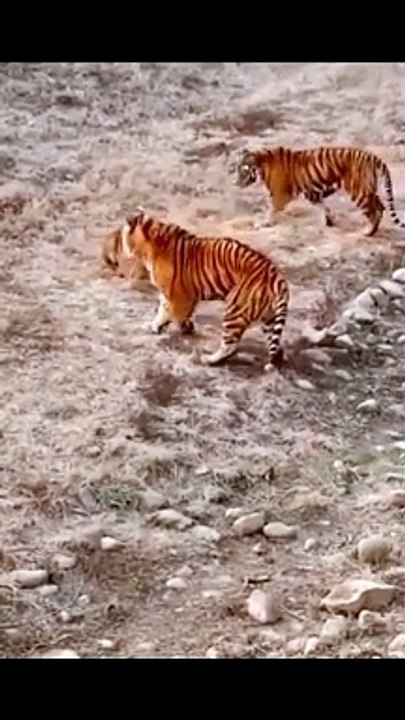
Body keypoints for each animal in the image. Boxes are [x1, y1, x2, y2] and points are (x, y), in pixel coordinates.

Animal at [112, 212, 290, 370]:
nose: (119, 247)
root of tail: (277, 278)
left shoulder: (180, 295)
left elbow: (175, 314)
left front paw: (185, 326)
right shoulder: (168, 293)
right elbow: (162, 311)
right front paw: (155, 326)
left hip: (235, 311)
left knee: (230, 345)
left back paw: (209, 359)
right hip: (269, 317)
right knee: (275, 344)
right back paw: (277, 361)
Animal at [233, 145, 405, 236]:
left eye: (243, 170)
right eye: (237, 168)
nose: (235, 182)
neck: (263, 167)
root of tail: (372, 157)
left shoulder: (280, 195)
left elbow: (271, 209)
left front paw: (263, 223)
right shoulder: (312, 193)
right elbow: (324, 207)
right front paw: (330, 221)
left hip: (358, 191)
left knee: (374, 211)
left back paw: (367, 232)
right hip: (368, 189)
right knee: (380, 206)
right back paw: (372, 230)